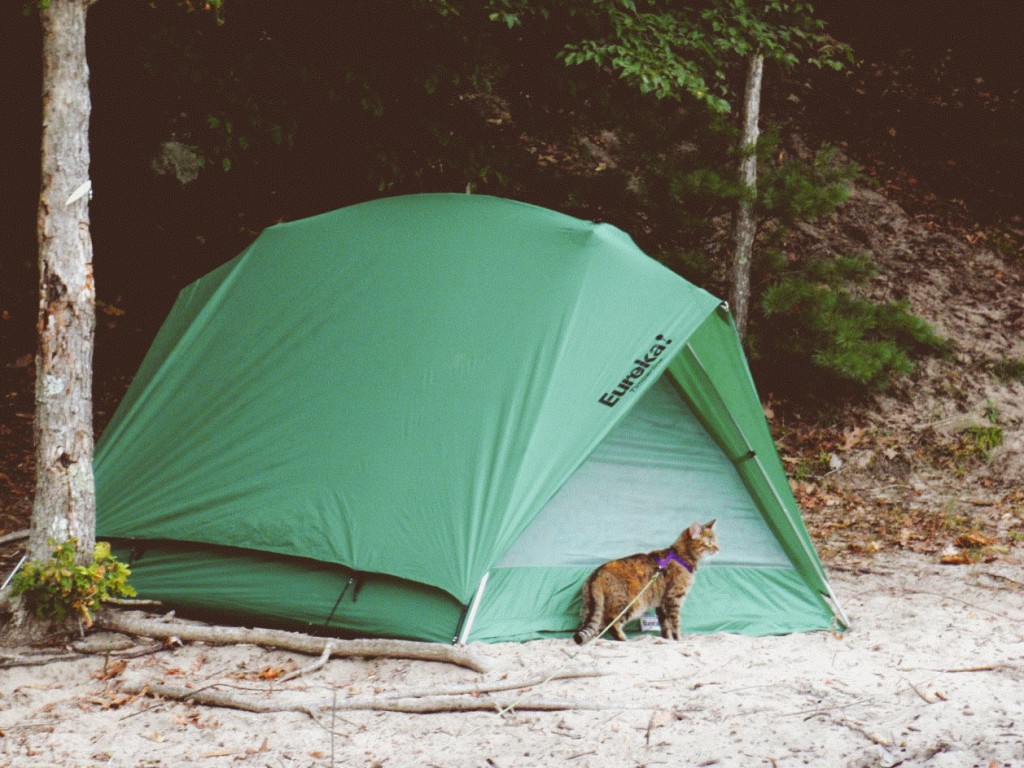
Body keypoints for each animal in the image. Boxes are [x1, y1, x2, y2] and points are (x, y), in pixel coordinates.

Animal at [577, 520, 720, 647]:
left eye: (716, 541)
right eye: (709, 543)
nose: (718, 548)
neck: (681, 557)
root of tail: (596, 574)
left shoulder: (661, 604)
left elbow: (665, 626)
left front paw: (667, 640)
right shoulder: (673, 599)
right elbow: (675, 624)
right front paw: (679, 640)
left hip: (591, 607)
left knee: (591, 626)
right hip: (631, 604)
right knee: (611, 622)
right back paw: (623, 639)